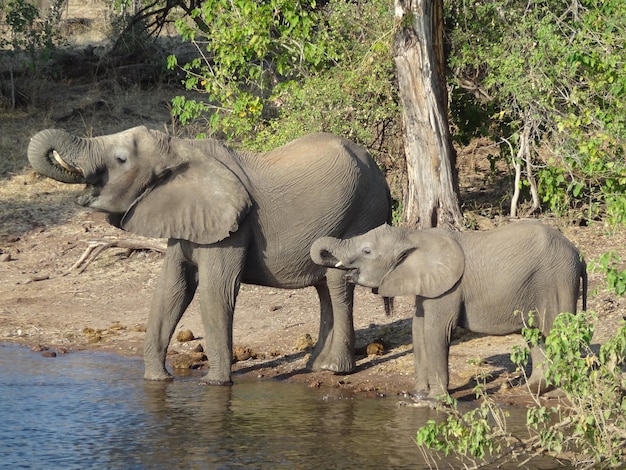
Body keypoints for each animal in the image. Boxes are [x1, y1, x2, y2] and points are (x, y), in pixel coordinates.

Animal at [30, 126, 390, 384]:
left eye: (120, 159)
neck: (181, 148)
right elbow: (172, 290)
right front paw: (157, 380)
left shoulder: (235, 226)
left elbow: (216, 292)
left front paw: (214, 385)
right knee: (323, 288)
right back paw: (316, 366)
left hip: (361, 212)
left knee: (337, 284)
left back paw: (336, 370)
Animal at [310, 222, 584, 398]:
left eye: (366, 251)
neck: (412, 236)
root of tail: (578, 254)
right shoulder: (428, 284)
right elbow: (418, 329)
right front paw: (418, 395)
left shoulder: (449, 288)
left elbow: (435, 330)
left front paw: (435, 400)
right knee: (536, 336)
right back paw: (532, 390)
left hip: (558, 280)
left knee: (559, 333)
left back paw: (559, 393)